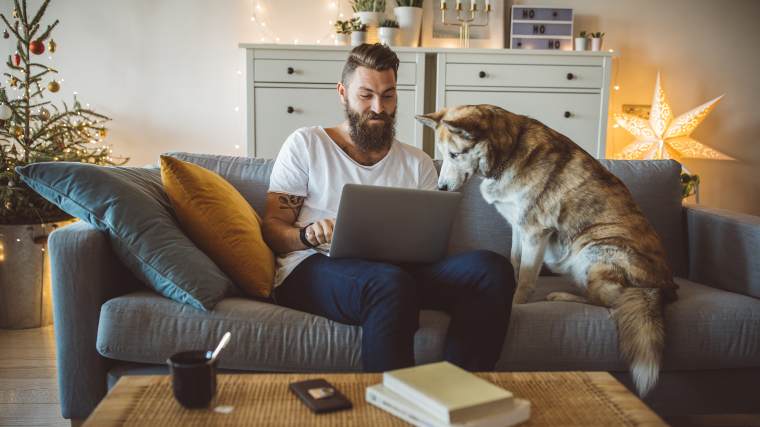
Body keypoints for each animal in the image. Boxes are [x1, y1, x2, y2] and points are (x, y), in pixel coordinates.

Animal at [418, 104, 680, 398]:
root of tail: (662, 287)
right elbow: (514, 263)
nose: (440, 188)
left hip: (592, 250)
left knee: (610, 302)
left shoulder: (535, 232)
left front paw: (515, 304)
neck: (509, 152)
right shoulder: (517, 227)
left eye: (455, 154)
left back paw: (562, 295)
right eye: (442, 155)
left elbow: (526, 279)